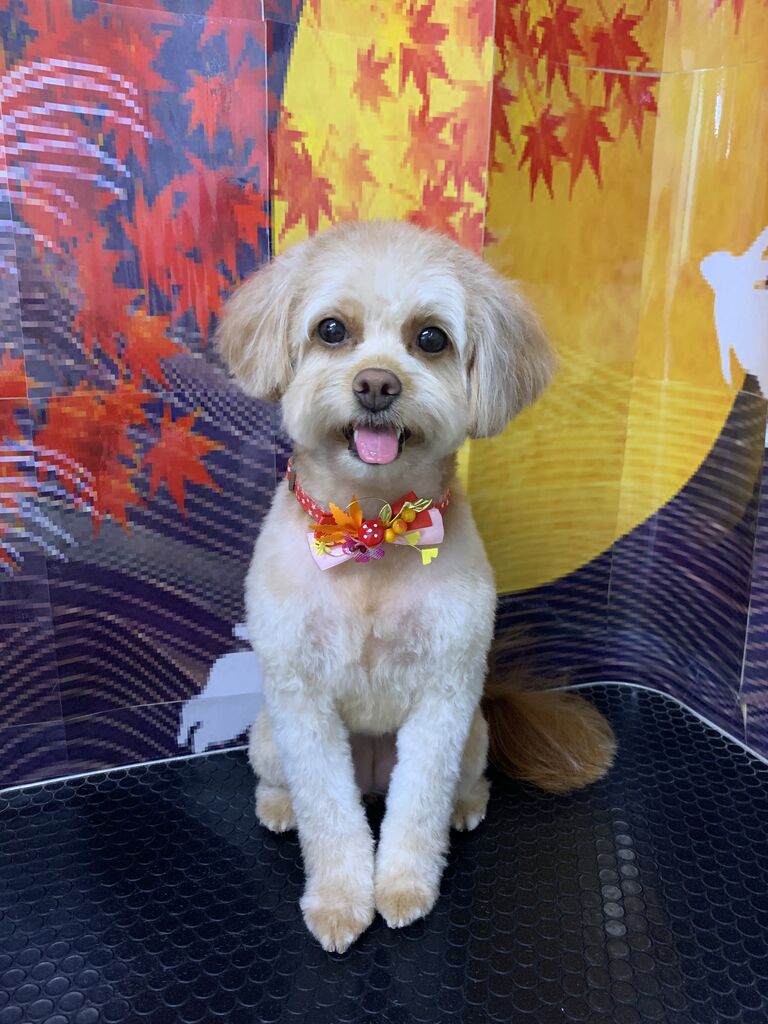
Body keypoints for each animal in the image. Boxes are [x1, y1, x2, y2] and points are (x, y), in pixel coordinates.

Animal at [218, 220, 616, 953]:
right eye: (332, 329)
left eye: (430, 338)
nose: (377, 384)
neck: (374, 531)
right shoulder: (300, 697)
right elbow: (329, 812)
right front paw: (340, 901)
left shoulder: (446, 693)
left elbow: (419, 803)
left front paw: (403, 888)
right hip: (267, 733)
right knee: (287, 784)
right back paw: (279, 806)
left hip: (477, 731)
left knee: (455, 782)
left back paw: (467, 806)